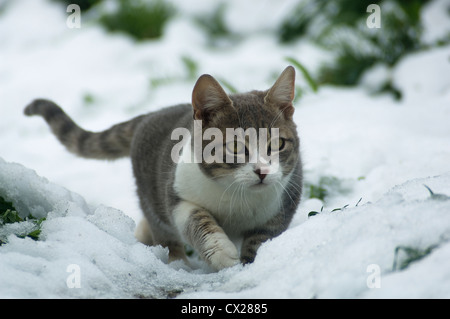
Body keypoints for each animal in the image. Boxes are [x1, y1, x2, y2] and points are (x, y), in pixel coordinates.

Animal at [25, 66, 306, 272]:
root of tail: (148, 117)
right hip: (149, 192)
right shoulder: (177, 193)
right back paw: (177, 261)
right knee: (162, 229)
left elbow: (262, 238)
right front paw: (221, 253)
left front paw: (252, 264)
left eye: (278, 143)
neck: (238, 197)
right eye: (236, 146)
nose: (262, 171)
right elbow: (196, 220)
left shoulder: (285, 200)